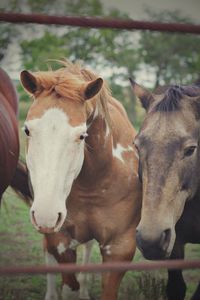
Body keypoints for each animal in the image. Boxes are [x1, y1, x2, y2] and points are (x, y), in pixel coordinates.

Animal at [20, 61, 141, 300]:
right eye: (27, 130)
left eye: (82, 135)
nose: (47, 215)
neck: (94, 181)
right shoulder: (61, 242)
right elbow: (68, 284)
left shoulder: (119, 248)